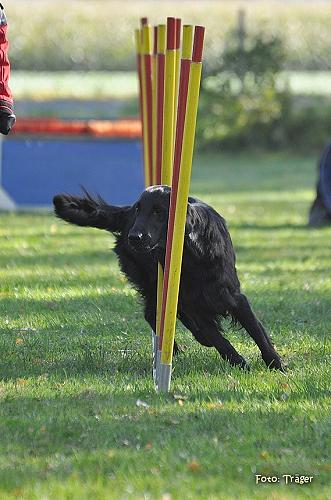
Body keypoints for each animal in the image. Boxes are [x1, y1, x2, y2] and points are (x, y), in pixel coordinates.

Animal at [53, 186, 284, 370]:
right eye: (139, 210)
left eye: (158, 211)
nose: (134, 237)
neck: (193, 255)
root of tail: (124, 213)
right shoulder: (191, 303)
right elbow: (218, 339)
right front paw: (239, 363)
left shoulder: (234, 297)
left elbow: (257, 331)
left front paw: (276, 364)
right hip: (151, 281)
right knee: (152, 314)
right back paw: (174, 348)